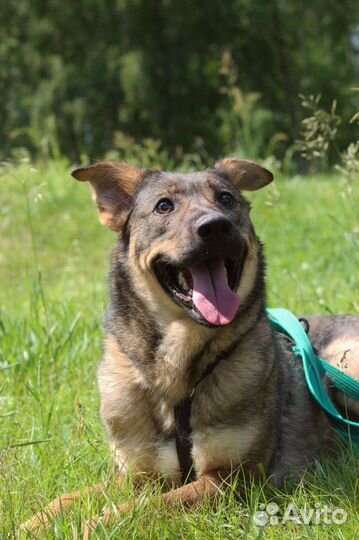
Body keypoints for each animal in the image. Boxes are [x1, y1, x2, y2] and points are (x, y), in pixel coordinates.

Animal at [21, 157, 358, 536]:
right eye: (164, 206)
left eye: (226, 199)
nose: (216, 227)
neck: (177, 371)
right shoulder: (136, 474)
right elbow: (64, 501)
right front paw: (32, 525)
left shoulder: (230, 479)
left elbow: (134, 510)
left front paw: (85, 528)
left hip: (345, 362)